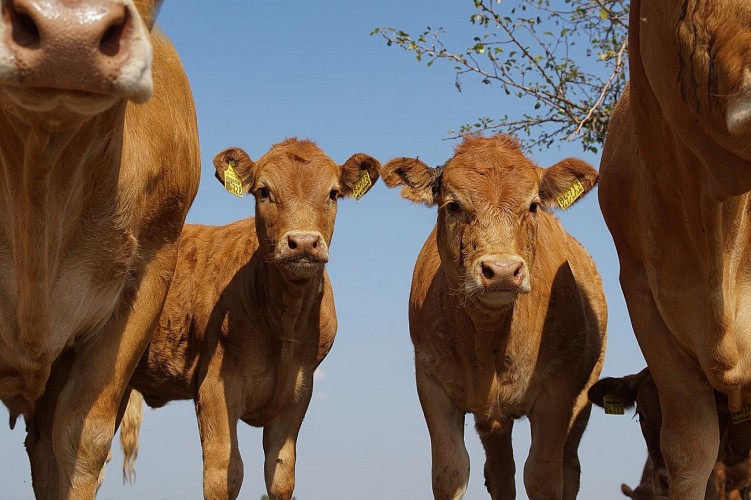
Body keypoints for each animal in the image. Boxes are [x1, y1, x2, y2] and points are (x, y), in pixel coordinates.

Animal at [124, 139, 381, 499]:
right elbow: (225, 472)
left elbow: (280, 472)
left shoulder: (298, 393)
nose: (303, 242)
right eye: (263, 191)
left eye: (332, 193)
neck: (285, 320)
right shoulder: (214, 387)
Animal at [380, 134, 607, 499]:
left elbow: (543, 475)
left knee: (568, 466)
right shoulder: (432, 384)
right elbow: (450, 471)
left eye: (533, 206)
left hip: (584, 396)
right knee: (501, 471)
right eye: (453, 205)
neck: (489, 338)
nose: (502, 271)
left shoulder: (557, 392)